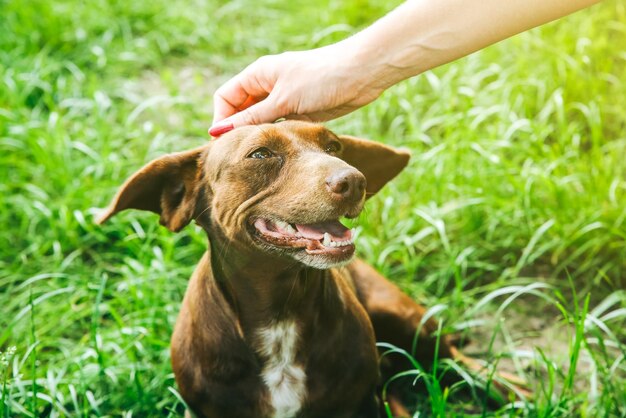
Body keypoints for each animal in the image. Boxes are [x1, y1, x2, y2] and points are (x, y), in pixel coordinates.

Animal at [97, 121, 470, 418]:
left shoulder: (362, 403)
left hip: (409, 323)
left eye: (333, 146)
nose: (354, 180)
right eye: (261, 154)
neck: (281, 311)